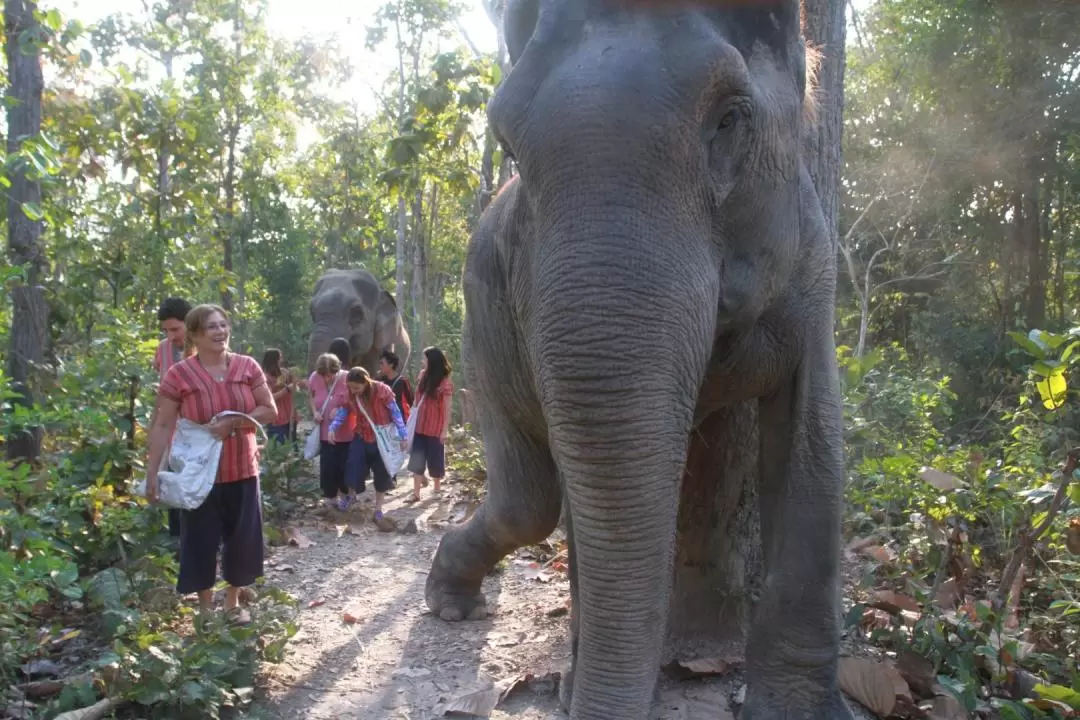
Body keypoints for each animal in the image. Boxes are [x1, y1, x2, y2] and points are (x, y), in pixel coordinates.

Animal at [423, 1, 851, 720]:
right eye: (509, 148)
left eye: (729, 118)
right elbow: (581, 488)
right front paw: (573, 683)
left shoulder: (815, 265)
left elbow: (811, 448)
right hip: (479, 331)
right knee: (527, 500)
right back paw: (449, 602)